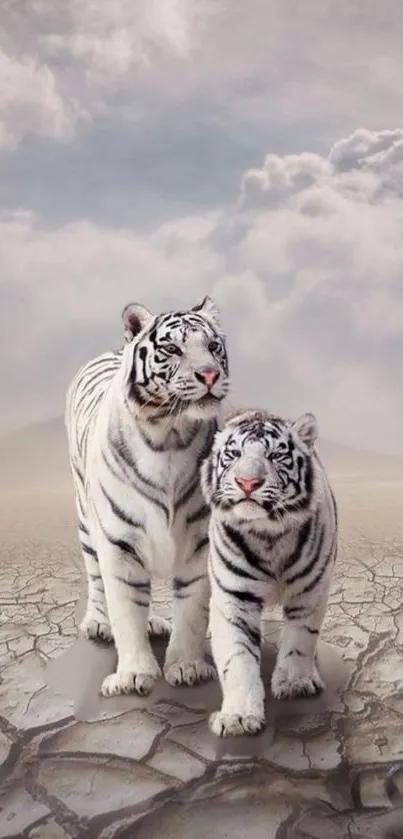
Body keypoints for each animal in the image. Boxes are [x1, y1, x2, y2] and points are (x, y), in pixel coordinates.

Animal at [66, 296, 230, 696]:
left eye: (213, 346)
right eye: (173, 349)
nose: (210, 375)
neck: (170, 435)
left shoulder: (199, 543)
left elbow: (191, 609)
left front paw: (186, 666)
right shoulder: (119, 544)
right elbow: (125, 610)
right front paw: (134, 674)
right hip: (86, 520)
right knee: (96, 577)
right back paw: (97, 622)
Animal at [202, 410, 338, 740]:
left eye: (276, 455)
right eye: (234, 454)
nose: (247, 482)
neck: (268, 535)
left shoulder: (310, 592)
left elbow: (301, 638)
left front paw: (295, 683)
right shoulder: (234, 598)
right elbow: (237, 657)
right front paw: (238, 717)